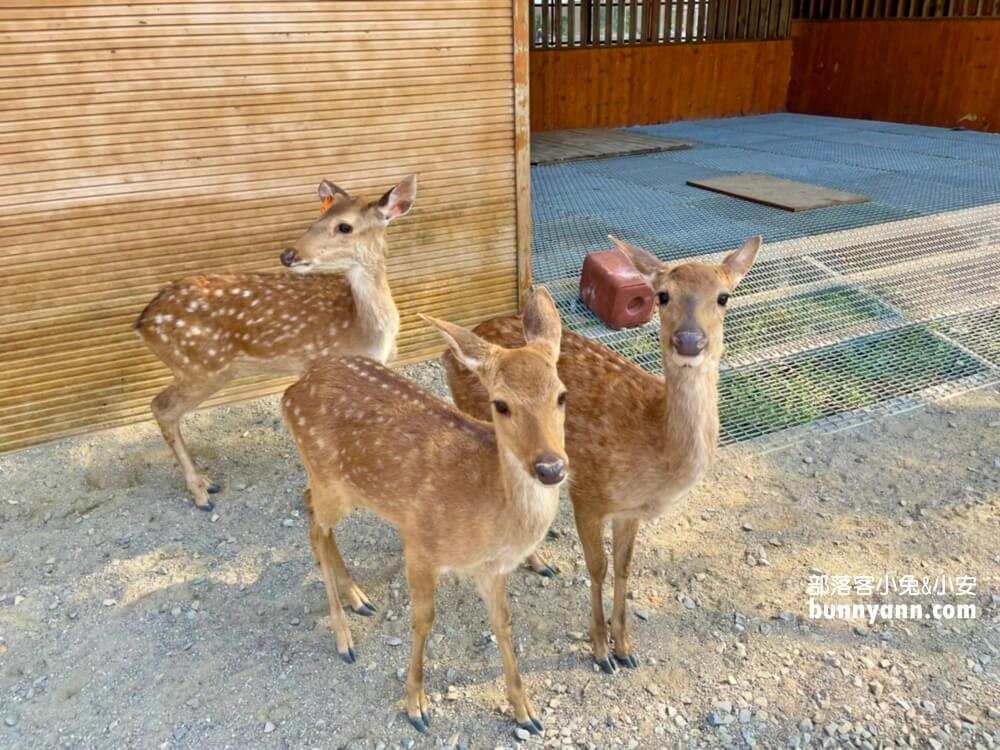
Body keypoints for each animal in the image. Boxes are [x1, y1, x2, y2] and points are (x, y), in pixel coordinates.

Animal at [137, 177, 414, 516]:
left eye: (344, 226)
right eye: (317, 217)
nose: (288, 255)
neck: (364, 330)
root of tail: (143, 321)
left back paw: (205, 481)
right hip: (201, 367)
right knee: (161, 407)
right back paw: (202, 493)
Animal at [282, 290, 568, 736]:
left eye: (562, 394)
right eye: (500, 405)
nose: (550, 467)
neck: (487, 507)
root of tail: (289, 392)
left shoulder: (492, 569)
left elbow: (503, 623)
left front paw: (526, 711)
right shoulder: (419, 544)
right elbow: (423, 620)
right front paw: (416, 704)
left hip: (337, 485)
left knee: (309, 506)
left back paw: (358, 596)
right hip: (330, 480)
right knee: (313, 524)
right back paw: (345, 638)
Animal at [442, 235, 760, 676]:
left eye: (724, 296)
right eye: (662, 295)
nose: (689, 341)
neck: (651, 444)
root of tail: (457, 347)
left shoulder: (629, 512)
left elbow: (624, 566)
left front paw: (625, 646)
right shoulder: (589, 494)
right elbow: (598, 566)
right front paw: (600, 651)